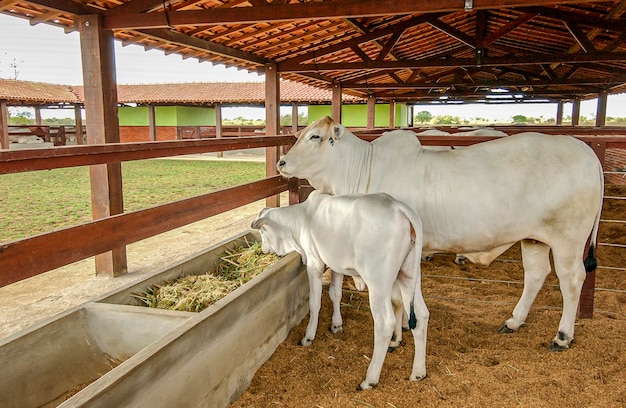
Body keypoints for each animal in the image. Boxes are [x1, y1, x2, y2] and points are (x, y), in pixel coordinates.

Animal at [250, 191, 428, 388]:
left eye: (262, 231)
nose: (263, 250)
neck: (302, 219)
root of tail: (398, 207)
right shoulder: (336, 265)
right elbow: (335, 293)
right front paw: (336, 324)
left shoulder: (315, 264)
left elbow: (315, 302)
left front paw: (308, 336)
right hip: (409, 275)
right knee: (421, 315)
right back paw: (418, 373)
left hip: (378, 283)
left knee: (385, 323)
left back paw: (370, 379)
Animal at [276, 115, 604, 350]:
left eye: (315, 136)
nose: (281, 161)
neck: (362, 170)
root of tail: (584, 149)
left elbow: (397, 296)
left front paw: (399, 332)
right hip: (534, 237)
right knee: (536, 275)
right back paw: (513, 321)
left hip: (567, 240)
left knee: (572, 280)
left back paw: (562, 335)